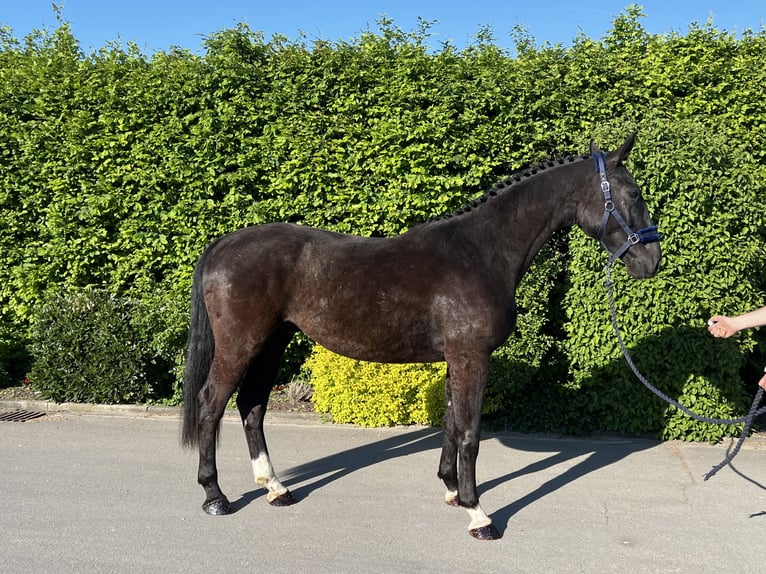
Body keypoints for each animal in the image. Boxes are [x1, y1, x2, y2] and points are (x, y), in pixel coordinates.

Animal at [183, 134, 664, 540]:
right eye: (634, 194)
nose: (652, 260)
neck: (482, 252)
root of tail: (224, 244)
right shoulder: (472, 357)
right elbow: (469, 432)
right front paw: (479, 514)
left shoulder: (457, 359)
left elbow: (451, 423)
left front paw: (451, 491)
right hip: (241, 345)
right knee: (211, 404)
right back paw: (215, 496)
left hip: (273, 342)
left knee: (252, 405)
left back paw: (275, 488)